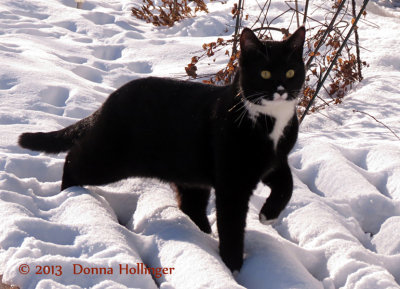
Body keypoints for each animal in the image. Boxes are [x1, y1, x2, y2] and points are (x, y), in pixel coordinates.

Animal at [18, 26, 306, 270]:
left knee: (190, 205)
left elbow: (287, 185)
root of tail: (108, 102)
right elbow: (232, 225)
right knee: (74, 158)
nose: (281, 89)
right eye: (265, 73)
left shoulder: (274, 161)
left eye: (291, 73)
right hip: (111, 158)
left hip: (188, 172)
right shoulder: (233, 181)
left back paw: (202, 234)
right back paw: (70, 194)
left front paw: (268, 215)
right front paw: (233, 265)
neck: (271, 123)